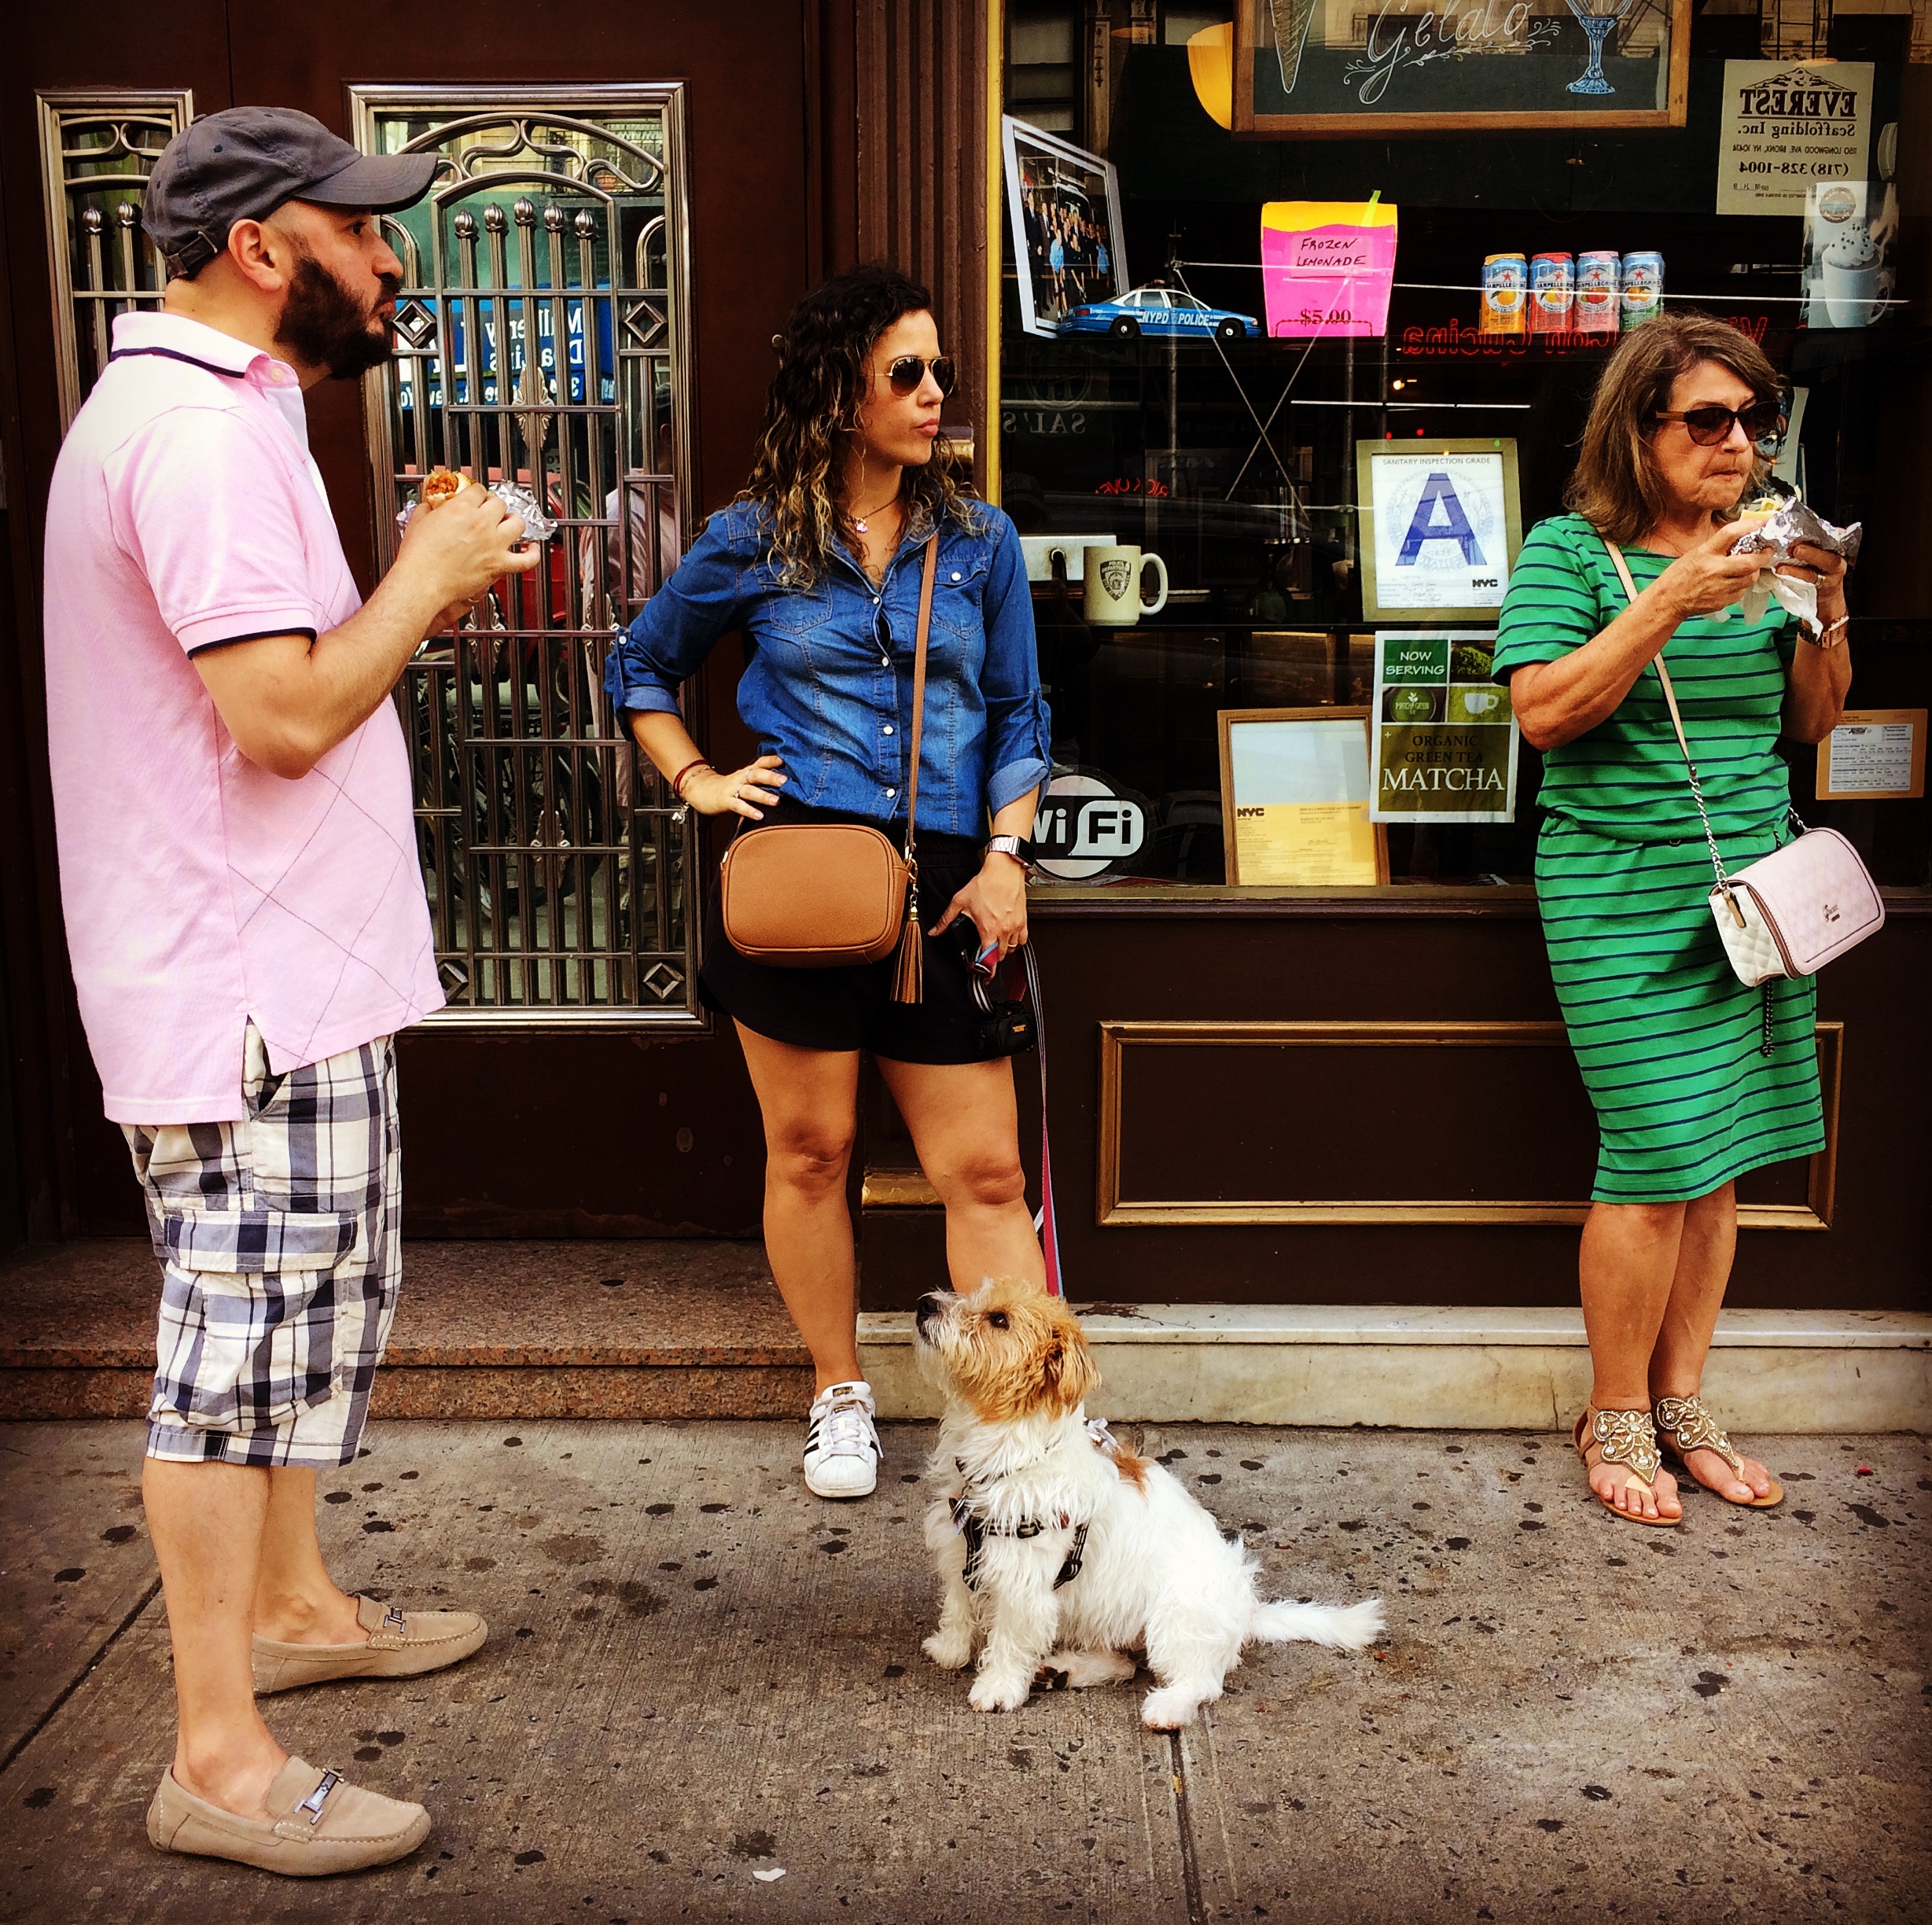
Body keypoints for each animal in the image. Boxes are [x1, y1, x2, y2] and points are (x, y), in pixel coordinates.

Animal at [911, 1275, 1383, 1732]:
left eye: (1000, 1320)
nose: (924, 1304)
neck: (1008, 1455)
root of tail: (1247, 1611)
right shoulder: (959, 1549)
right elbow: (958, 1606)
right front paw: (950, 1648)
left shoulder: (1023, 1585)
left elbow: (1009, 1640)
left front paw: (997, 1688)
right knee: (1123, 1663)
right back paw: (1061, 1671)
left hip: (1175, 1620)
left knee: (1201, 1681)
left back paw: (1168, 1708)